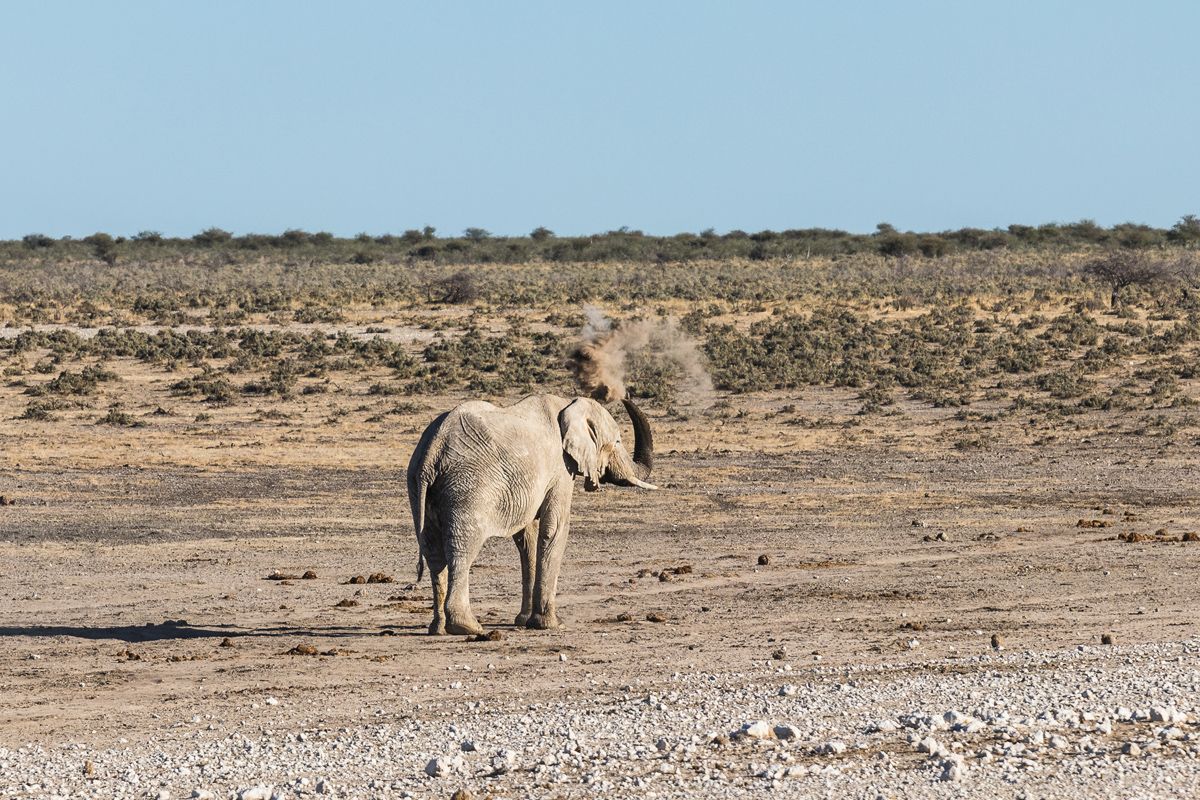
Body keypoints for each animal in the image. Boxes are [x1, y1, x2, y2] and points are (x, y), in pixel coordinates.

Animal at [407, 394, 656, 635]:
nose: (624, 398)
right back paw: (467, 627)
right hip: (467, 487)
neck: (569, 404)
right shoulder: (561, 469)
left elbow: (527, 538)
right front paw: (551, 624)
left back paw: (438, 629)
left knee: (433, 553)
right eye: (618, 442)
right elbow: (555, 529)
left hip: (418, 485)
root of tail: (433, 450)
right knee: (462, 549)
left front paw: (525, 620)